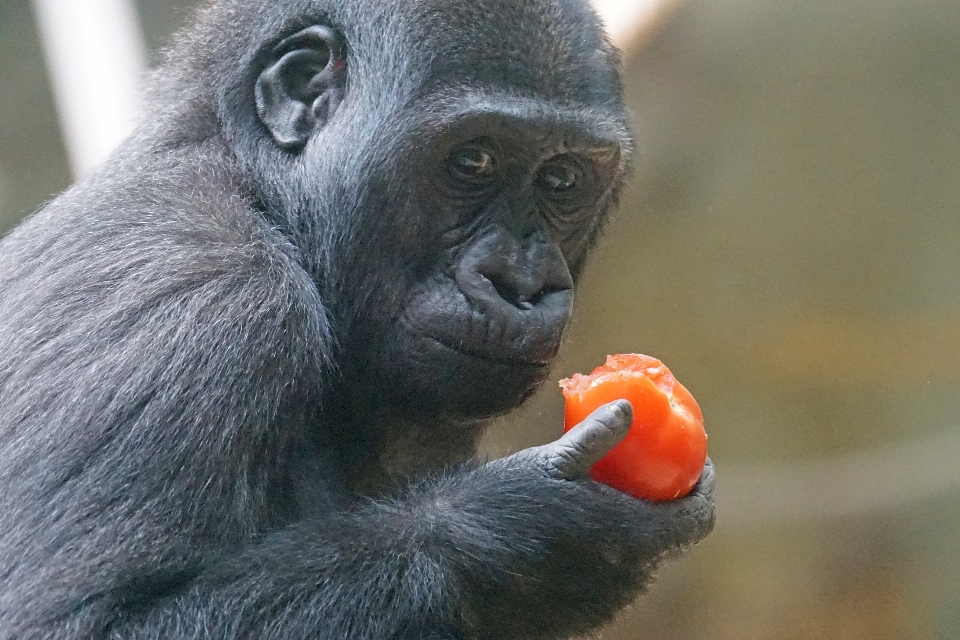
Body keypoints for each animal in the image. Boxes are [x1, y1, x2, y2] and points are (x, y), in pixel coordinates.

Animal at [0, 1, 712, 640]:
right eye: (472, 161)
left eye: (563, 179)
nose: (522, 283)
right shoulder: (205, 296)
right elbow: (72, 625)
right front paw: (535, 536)